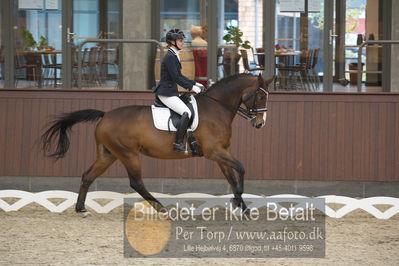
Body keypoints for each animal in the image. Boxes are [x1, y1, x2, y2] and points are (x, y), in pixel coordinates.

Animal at [41, 73, 276, 214]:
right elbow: (241, 168)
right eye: (260, 97)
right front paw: (239, 202)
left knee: (88, 176)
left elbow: (232, 177)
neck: (216, 109)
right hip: (128, 154)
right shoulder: (215, 151)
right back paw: (161, 208)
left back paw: (80, 208)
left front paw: (242, 206)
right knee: (136, 183)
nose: (260, 124)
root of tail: (105, 115)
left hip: (108, 154)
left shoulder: (221, 152)